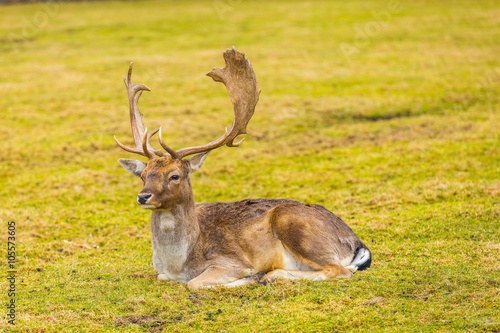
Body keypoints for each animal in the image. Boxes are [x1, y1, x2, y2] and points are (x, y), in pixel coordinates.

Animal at [115, 46, 370, 288]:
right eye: (143, 175)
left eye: (175, 176)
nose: (143, 196)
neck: (179, 265)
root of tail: (356, 242)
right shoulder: (163, 273)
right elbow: (163, 277)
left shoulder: (229, 261)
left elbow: (196, 283)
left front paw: (251, 277)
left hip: (294, 224)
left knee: (340, 270)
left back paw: (269, 275)